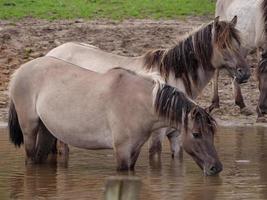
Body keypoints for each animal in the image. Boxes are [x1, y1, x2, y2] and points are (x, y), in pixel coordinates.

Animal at [7, 56, 224, 175]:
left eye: (212, 134)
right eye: (196, 134)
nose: (216, 168)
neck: (138, 103)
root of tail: (19, 71)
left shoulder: (134, 151)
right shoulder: (121, 151)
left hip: (46, 131)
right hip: (30, 129)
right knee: (30, 159)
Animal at [46, 16, 251, 158]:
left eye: (239, 44)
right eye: (223, 46)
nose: (245, 74)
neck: (172, 78)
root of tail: (51, 53)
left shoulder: (176, 135)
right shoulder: (157, 136)